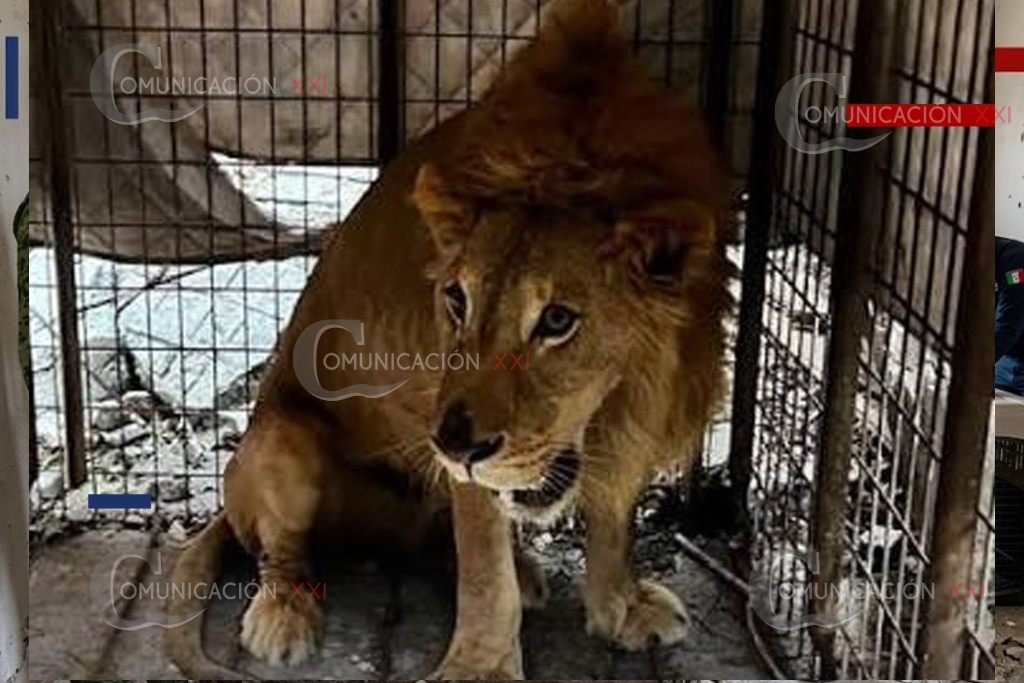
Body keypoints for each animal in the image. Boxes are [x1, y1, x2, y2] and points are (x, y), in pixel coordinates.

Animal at [165, 0, 733, 678]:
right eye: (457, 301)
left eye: (557, 321)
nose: (456, 446)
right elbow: (486, 576)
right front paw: (482, 667)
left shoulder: (641, 415)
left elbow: (614, 518)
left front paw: (621, 606)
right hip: (284, 445)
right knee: (283, 552)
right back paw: (284, 618)